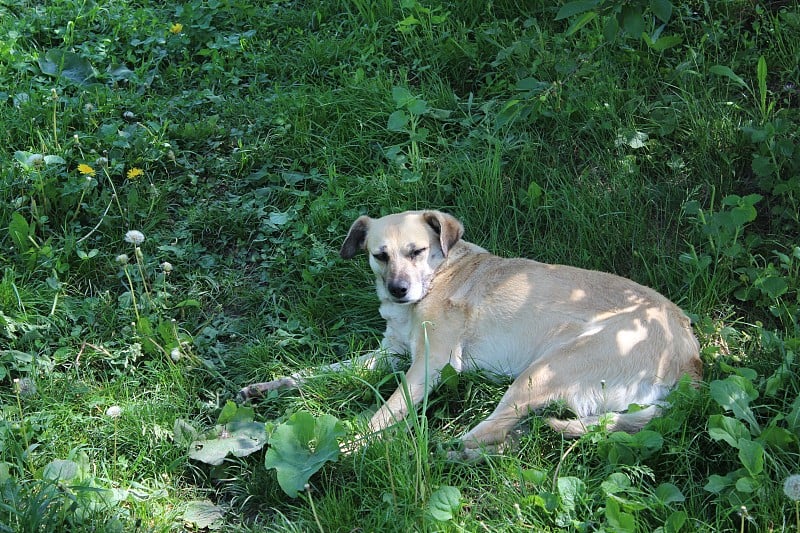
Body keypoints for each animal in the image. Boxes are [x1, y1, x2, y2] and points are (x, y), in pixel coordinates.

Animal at [241, 210, 704, 460]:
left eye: (416, 252)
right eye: (380, 256)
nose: (398, 290)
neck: (438, 274)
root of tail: (690, 358)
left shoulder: (429, 365)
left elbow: (386, 411)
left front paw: (353, 442)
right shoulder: (389, 355)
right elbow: (319, 372)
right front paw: (270, 386)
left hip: (544, 370)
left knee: (488, 434)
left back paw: (425, 451)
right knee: (510, 435)